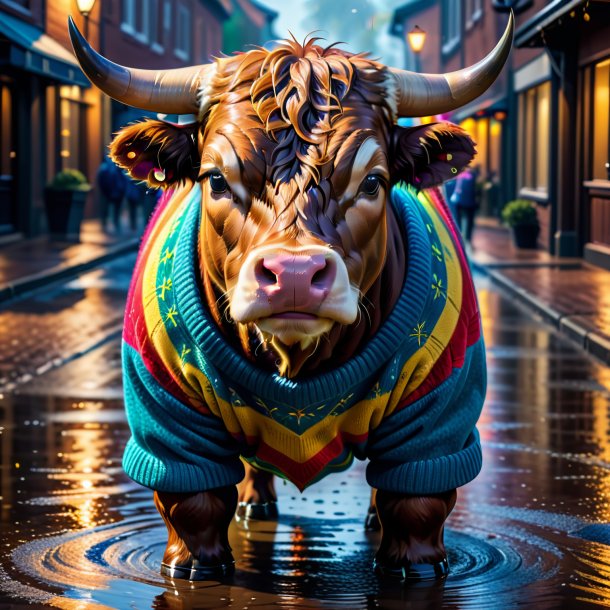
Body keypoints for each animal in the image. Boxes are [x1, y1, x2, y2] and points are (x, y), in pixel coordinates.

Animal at [69, 14, 510, 580]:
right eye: (216, 179)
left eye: (374, 181)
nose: (295, 273)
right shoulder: (168, 415)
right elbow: (193, 505)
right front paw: (194, 566)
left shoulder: (437, 413)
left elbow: (416, 504)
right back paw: (255, 502)